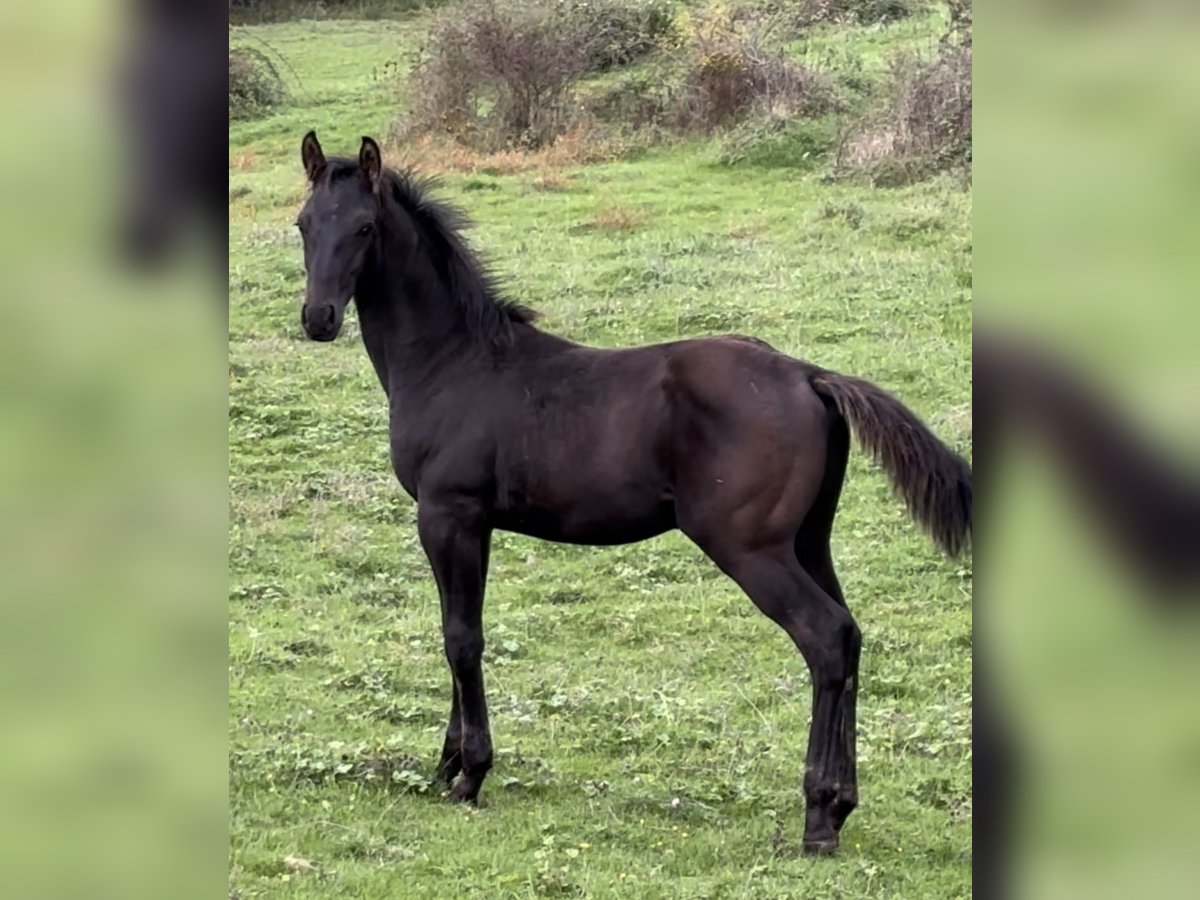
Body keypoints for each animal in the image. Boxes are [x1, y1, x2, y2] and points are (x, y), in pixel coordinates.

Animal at [295, 130, 969, 854]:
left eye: (364, 228)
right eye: (303, 224)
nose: (318, 318)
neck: (453, 361)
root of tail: (810, 376)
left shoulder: (450, 515)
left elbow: (461, 637)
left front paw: (469, 774)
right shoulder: (466, 524)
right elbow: (456, 629)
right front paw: (448, 760)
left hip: (750, 548)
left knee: (825, 637)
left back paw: (818, 817)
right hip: (808, 540)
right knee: (850, 636)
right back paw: (840, 803)